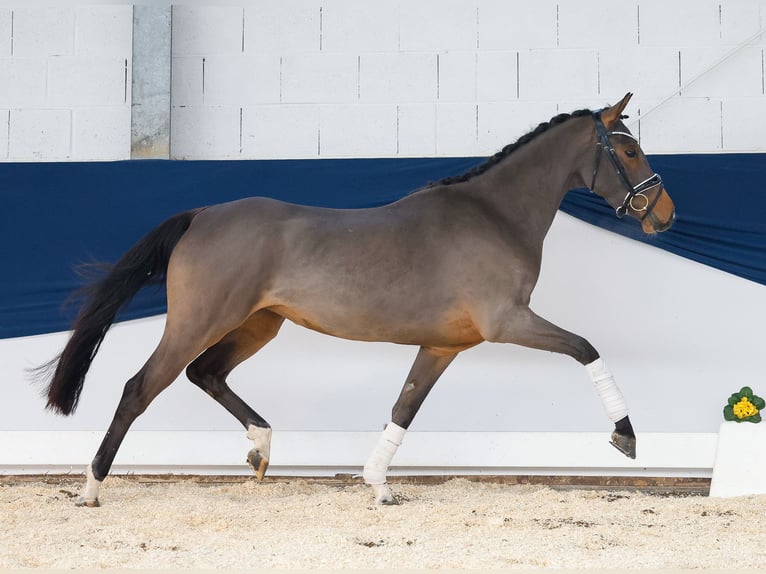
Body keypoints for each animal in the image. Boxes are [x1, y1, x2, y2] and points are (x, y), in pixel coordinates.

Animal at [40, 94, 680, 508]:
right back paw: (90, 489)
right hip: (199, 321)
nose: (665, 215)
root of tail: (201, 215)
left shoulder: (445, 345)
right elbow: (586, 348)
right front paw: (626, 436)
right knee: (140, 388)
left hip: (258, 325)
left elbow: (404, 407)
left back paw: (261, 450)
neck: (493, 216)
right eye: (628, 153)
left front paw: (378, 484)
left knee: (207, 374)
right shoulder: (507, 322)